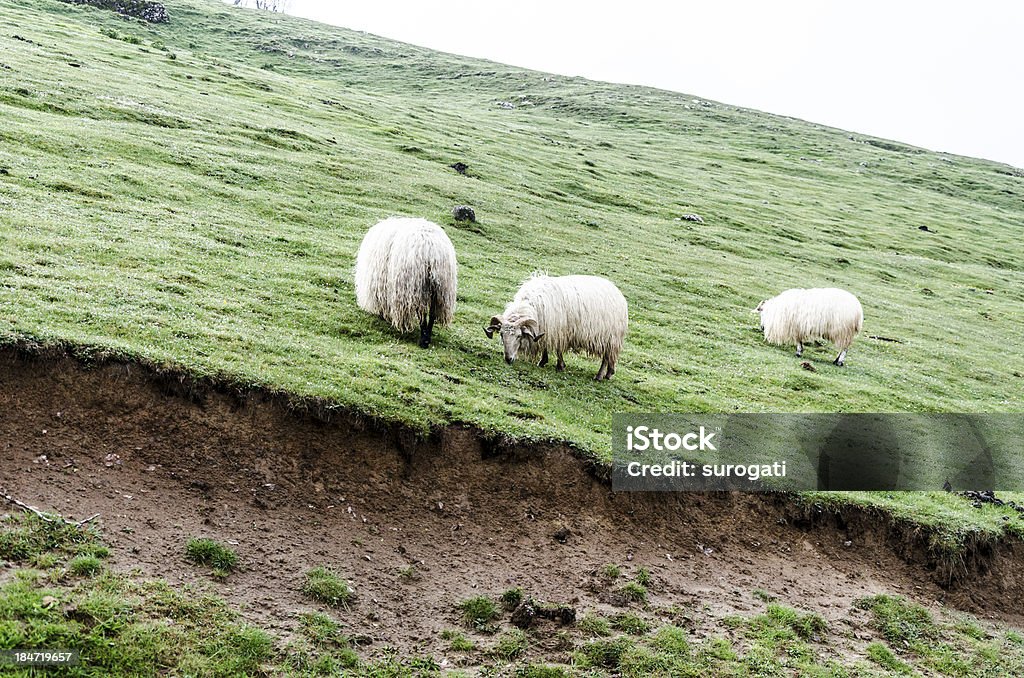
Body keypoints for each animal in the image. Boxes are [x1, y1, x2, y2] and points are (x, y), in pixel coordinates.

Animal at [356, 219, 460, 350]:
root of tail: (431, 249)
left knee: (422, 313)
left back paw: (423, 341)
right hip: (441, 290)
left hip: (415, 285)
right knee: (432, 313)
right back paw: (427, 338)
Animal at [483, 276, 626, 383]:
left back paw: (599, 376)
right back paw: (609, 373)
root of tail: (617, 291)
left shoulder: (557, 331)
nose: (508, 359)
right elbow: (545, 345)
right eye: (501, 335)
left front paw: (559, 366)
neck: (532, 306)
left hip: (609, 337)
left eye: (519, 336)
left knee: (606, 357)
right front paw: (543, 361)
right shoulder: (546, 329)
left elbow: (557, 350)